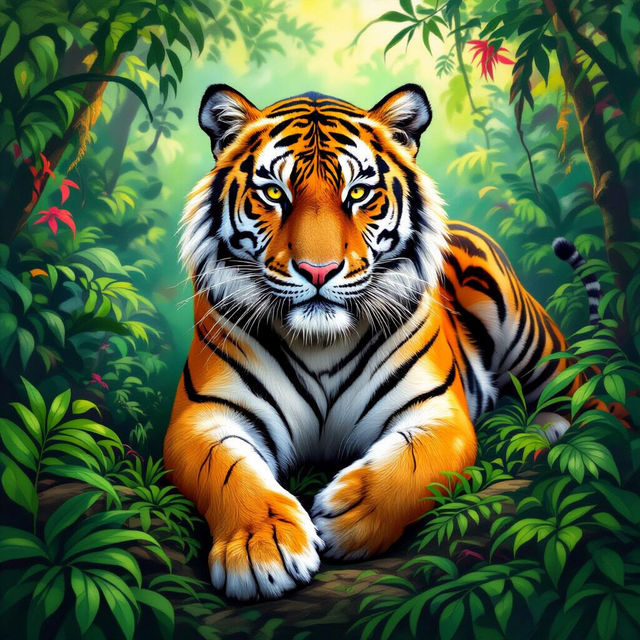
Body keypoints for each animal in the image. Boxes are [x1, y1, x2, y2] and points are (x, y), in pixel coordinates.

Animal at [164, 84, 589, 601]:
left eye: (359, 193)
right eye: (274, 193)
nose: (319, 271)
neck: (320, 343)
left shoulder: (436, 410)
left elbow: (413, 464)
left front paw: (349, 515)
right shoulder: (205, 415)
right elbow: (229, 471)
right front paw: (260, 547)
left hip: (528, 333)